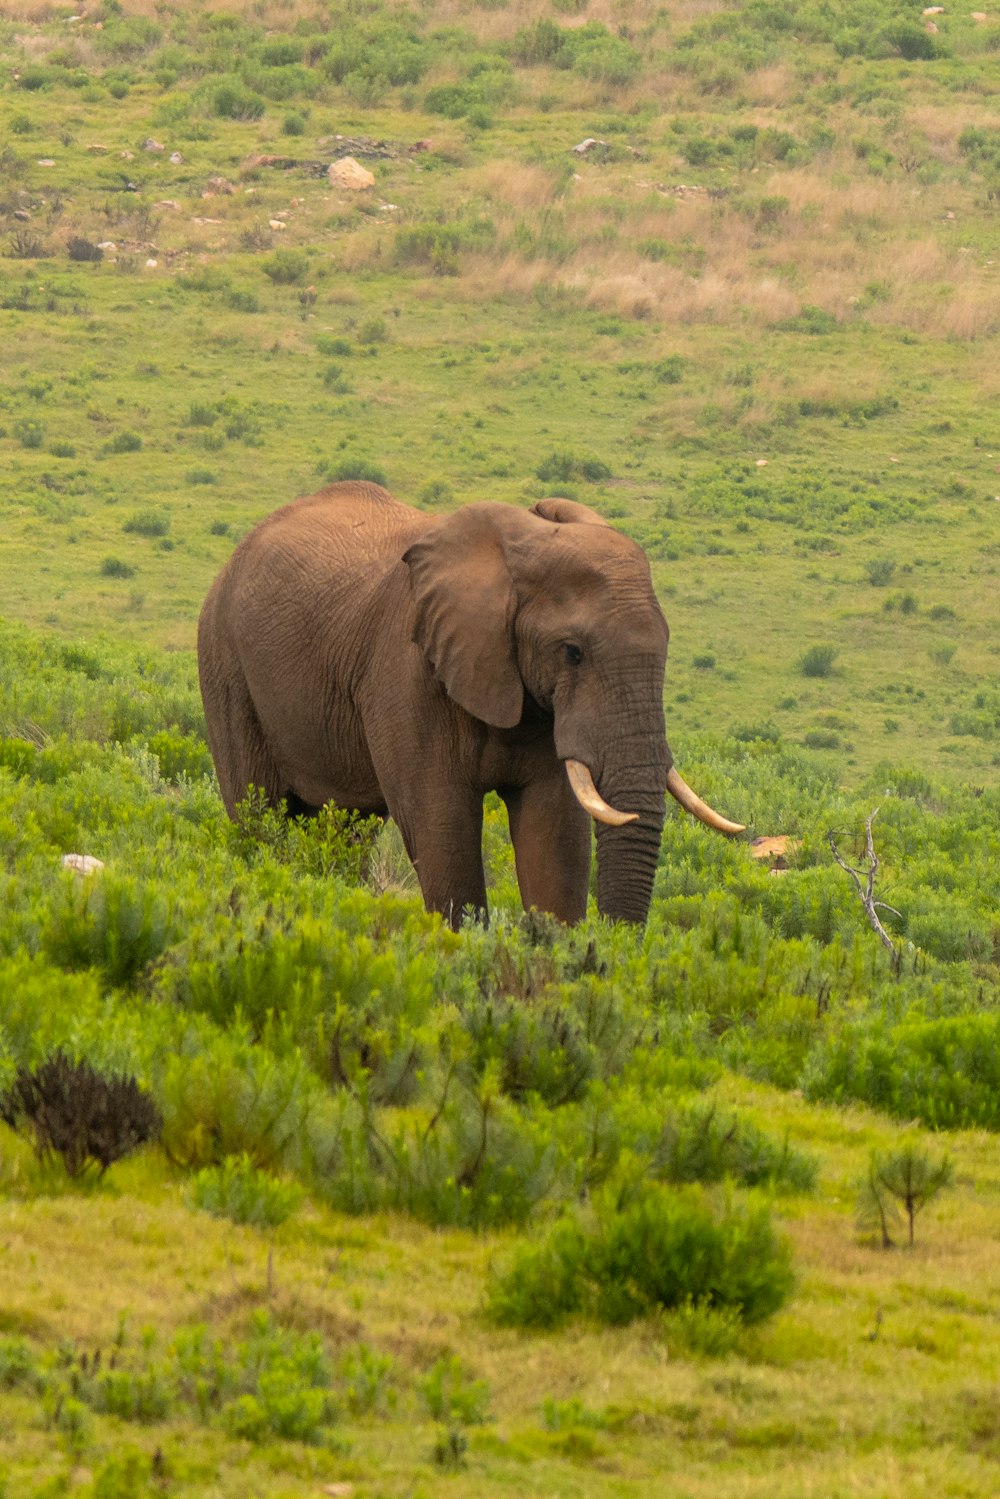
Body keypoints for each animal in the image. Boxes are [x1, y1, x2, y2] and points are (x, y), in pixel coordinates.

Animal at [197, 482, 743, 923]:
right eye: (573, 653)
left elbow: (555, 838)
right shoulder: (408, 674)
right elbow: (442, 829)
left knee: (347, 828)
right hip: (224, 664)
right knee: (258, 814)